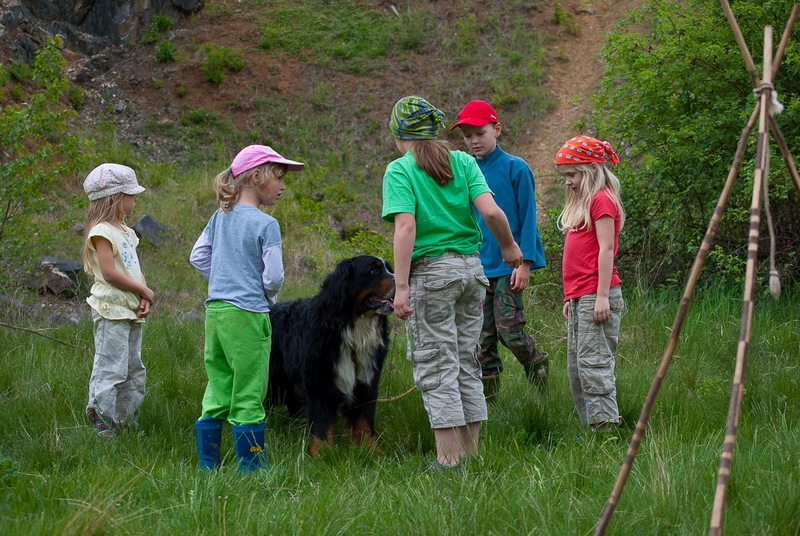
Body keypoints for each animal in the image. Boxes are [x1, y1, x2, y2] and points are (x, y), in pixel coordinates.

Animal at [268, 255, 396, 456]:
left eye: (389, 269)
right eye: (374, 270)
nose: (400, 279)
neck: (352, 329)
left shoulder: (367, 381)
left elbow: (364, 419)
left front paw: (371, 450)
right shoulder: (319, 382)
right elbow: (322, 422)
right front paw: (322, 453)